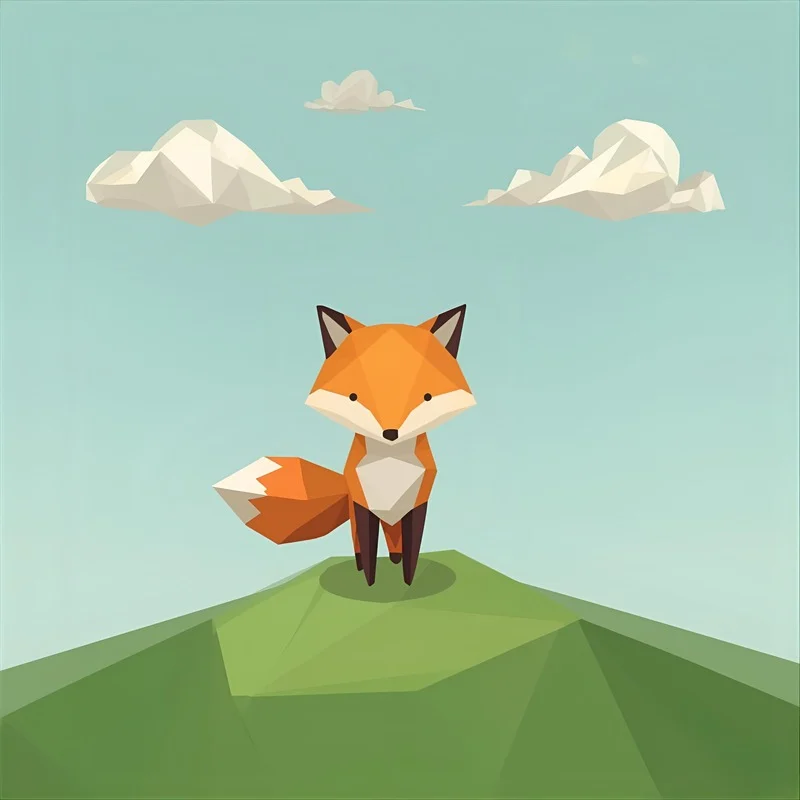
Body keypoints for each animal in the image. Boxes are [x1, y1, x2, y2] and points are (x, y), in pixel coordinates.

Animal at [213, 305, 476, 586]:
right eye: (353, 397)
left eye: (427, 397)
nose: (390, 433)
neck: (390, 465)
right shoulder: (363, 506)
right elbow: (370, 556)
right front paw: (370, 585)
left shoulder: (417, 504)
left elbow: (412, 556)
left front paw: (408, 583)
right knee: (360, 546)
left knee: (395, 544)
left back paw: (394, 560)